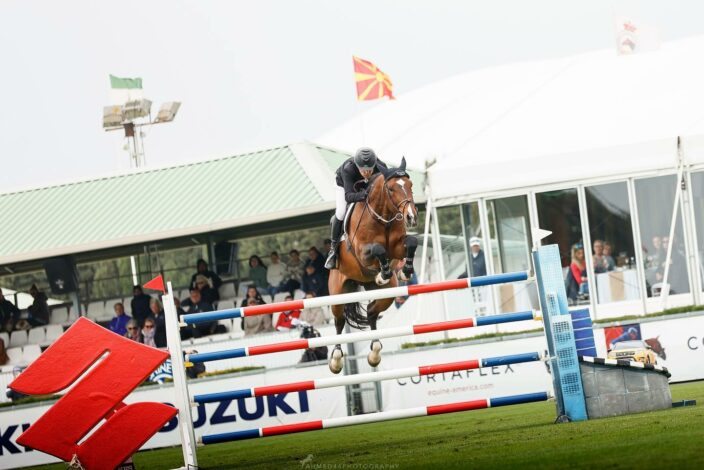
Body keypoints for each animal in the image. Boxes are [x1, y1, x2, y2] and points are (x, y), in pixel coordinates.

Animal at [326, 159, 418, 374]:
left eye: (410, 185)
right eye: (391, 189)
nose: (411, 217)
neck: (382, 218)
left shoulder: (398, 247)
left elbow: (412, 242)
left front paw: (405, 271)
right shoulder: (363, 253)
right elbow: (378, 249)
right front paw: (383, 273)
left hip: (386, 293)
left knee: (371, 312)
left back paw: (375, 352)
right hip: (338, 294)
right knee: (339, 321)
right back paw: (336, 360)